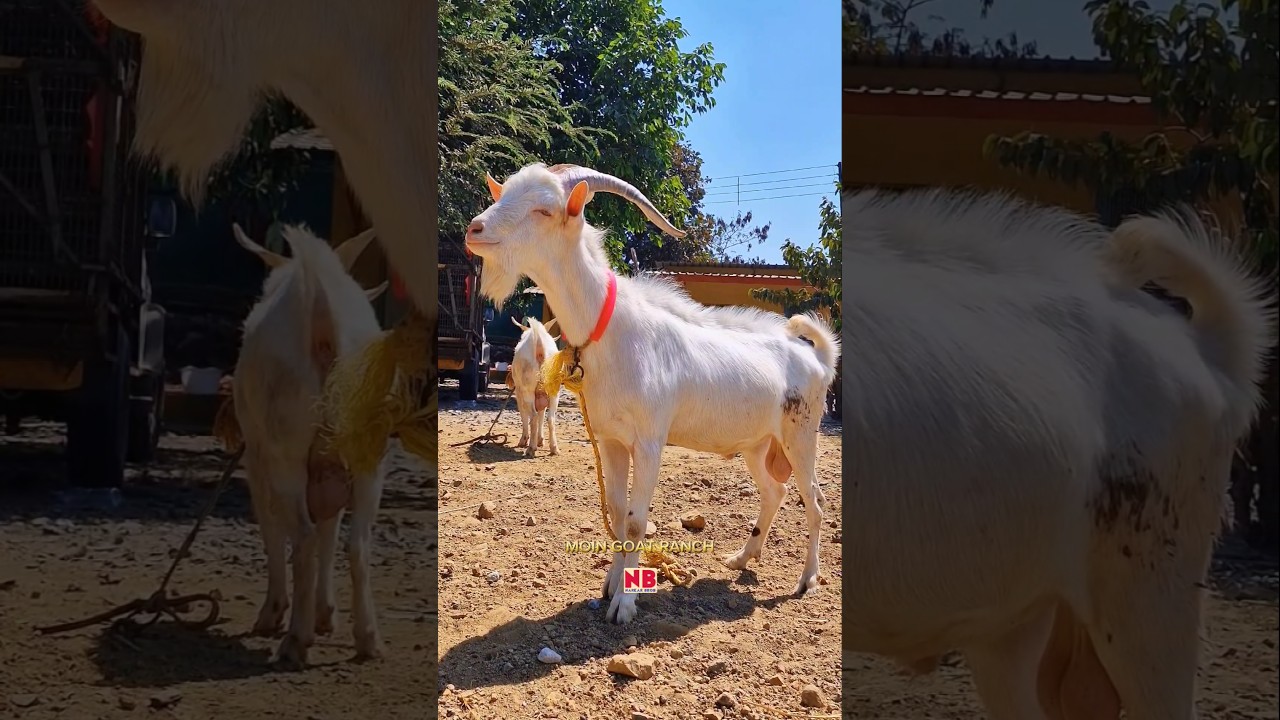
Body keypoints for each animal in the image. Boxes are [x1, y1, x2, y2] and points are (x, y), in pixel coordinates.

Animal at [231, 222, 390, 666]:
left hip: (284, 443)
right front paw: (324, 614)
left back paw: (294, 641)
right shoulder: (329, 464)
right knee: (358, 542)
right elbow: (329, 531)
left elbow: (272, 528)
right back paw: (367, 639)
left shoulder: (257, 458)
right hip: (369, 448)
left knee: (300, 536)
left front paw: (274, 613)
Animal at [508, 316, 562, 457]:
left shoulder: (519, 392)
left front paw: (524, 440)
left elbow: (524, 413)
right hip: (554, 390)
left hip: (527, 388)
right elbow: (541, 413)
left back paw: (530, 449)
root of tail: (539, 345)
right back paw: (554, 448)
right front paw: (540, 440)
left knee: (532, 416)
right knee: (550, 418)